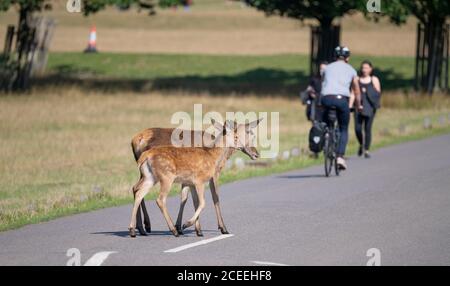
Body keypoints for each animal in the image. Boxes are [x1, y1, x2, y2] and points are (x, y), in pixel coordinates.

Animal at [128, 118, 262, 237]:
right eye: (247, 134)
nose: (256, 154)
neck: (214, 156)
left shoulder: (190, 182)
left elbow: (191, 200)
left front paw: (195, 229)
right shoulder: (204, 178)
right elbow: (211, 199)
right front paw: (221, 228)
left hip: (150, 177)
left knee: (137, 190)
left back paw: (136, 229)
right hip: (166, 178)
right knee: (159, 199)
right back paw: (168, 230)